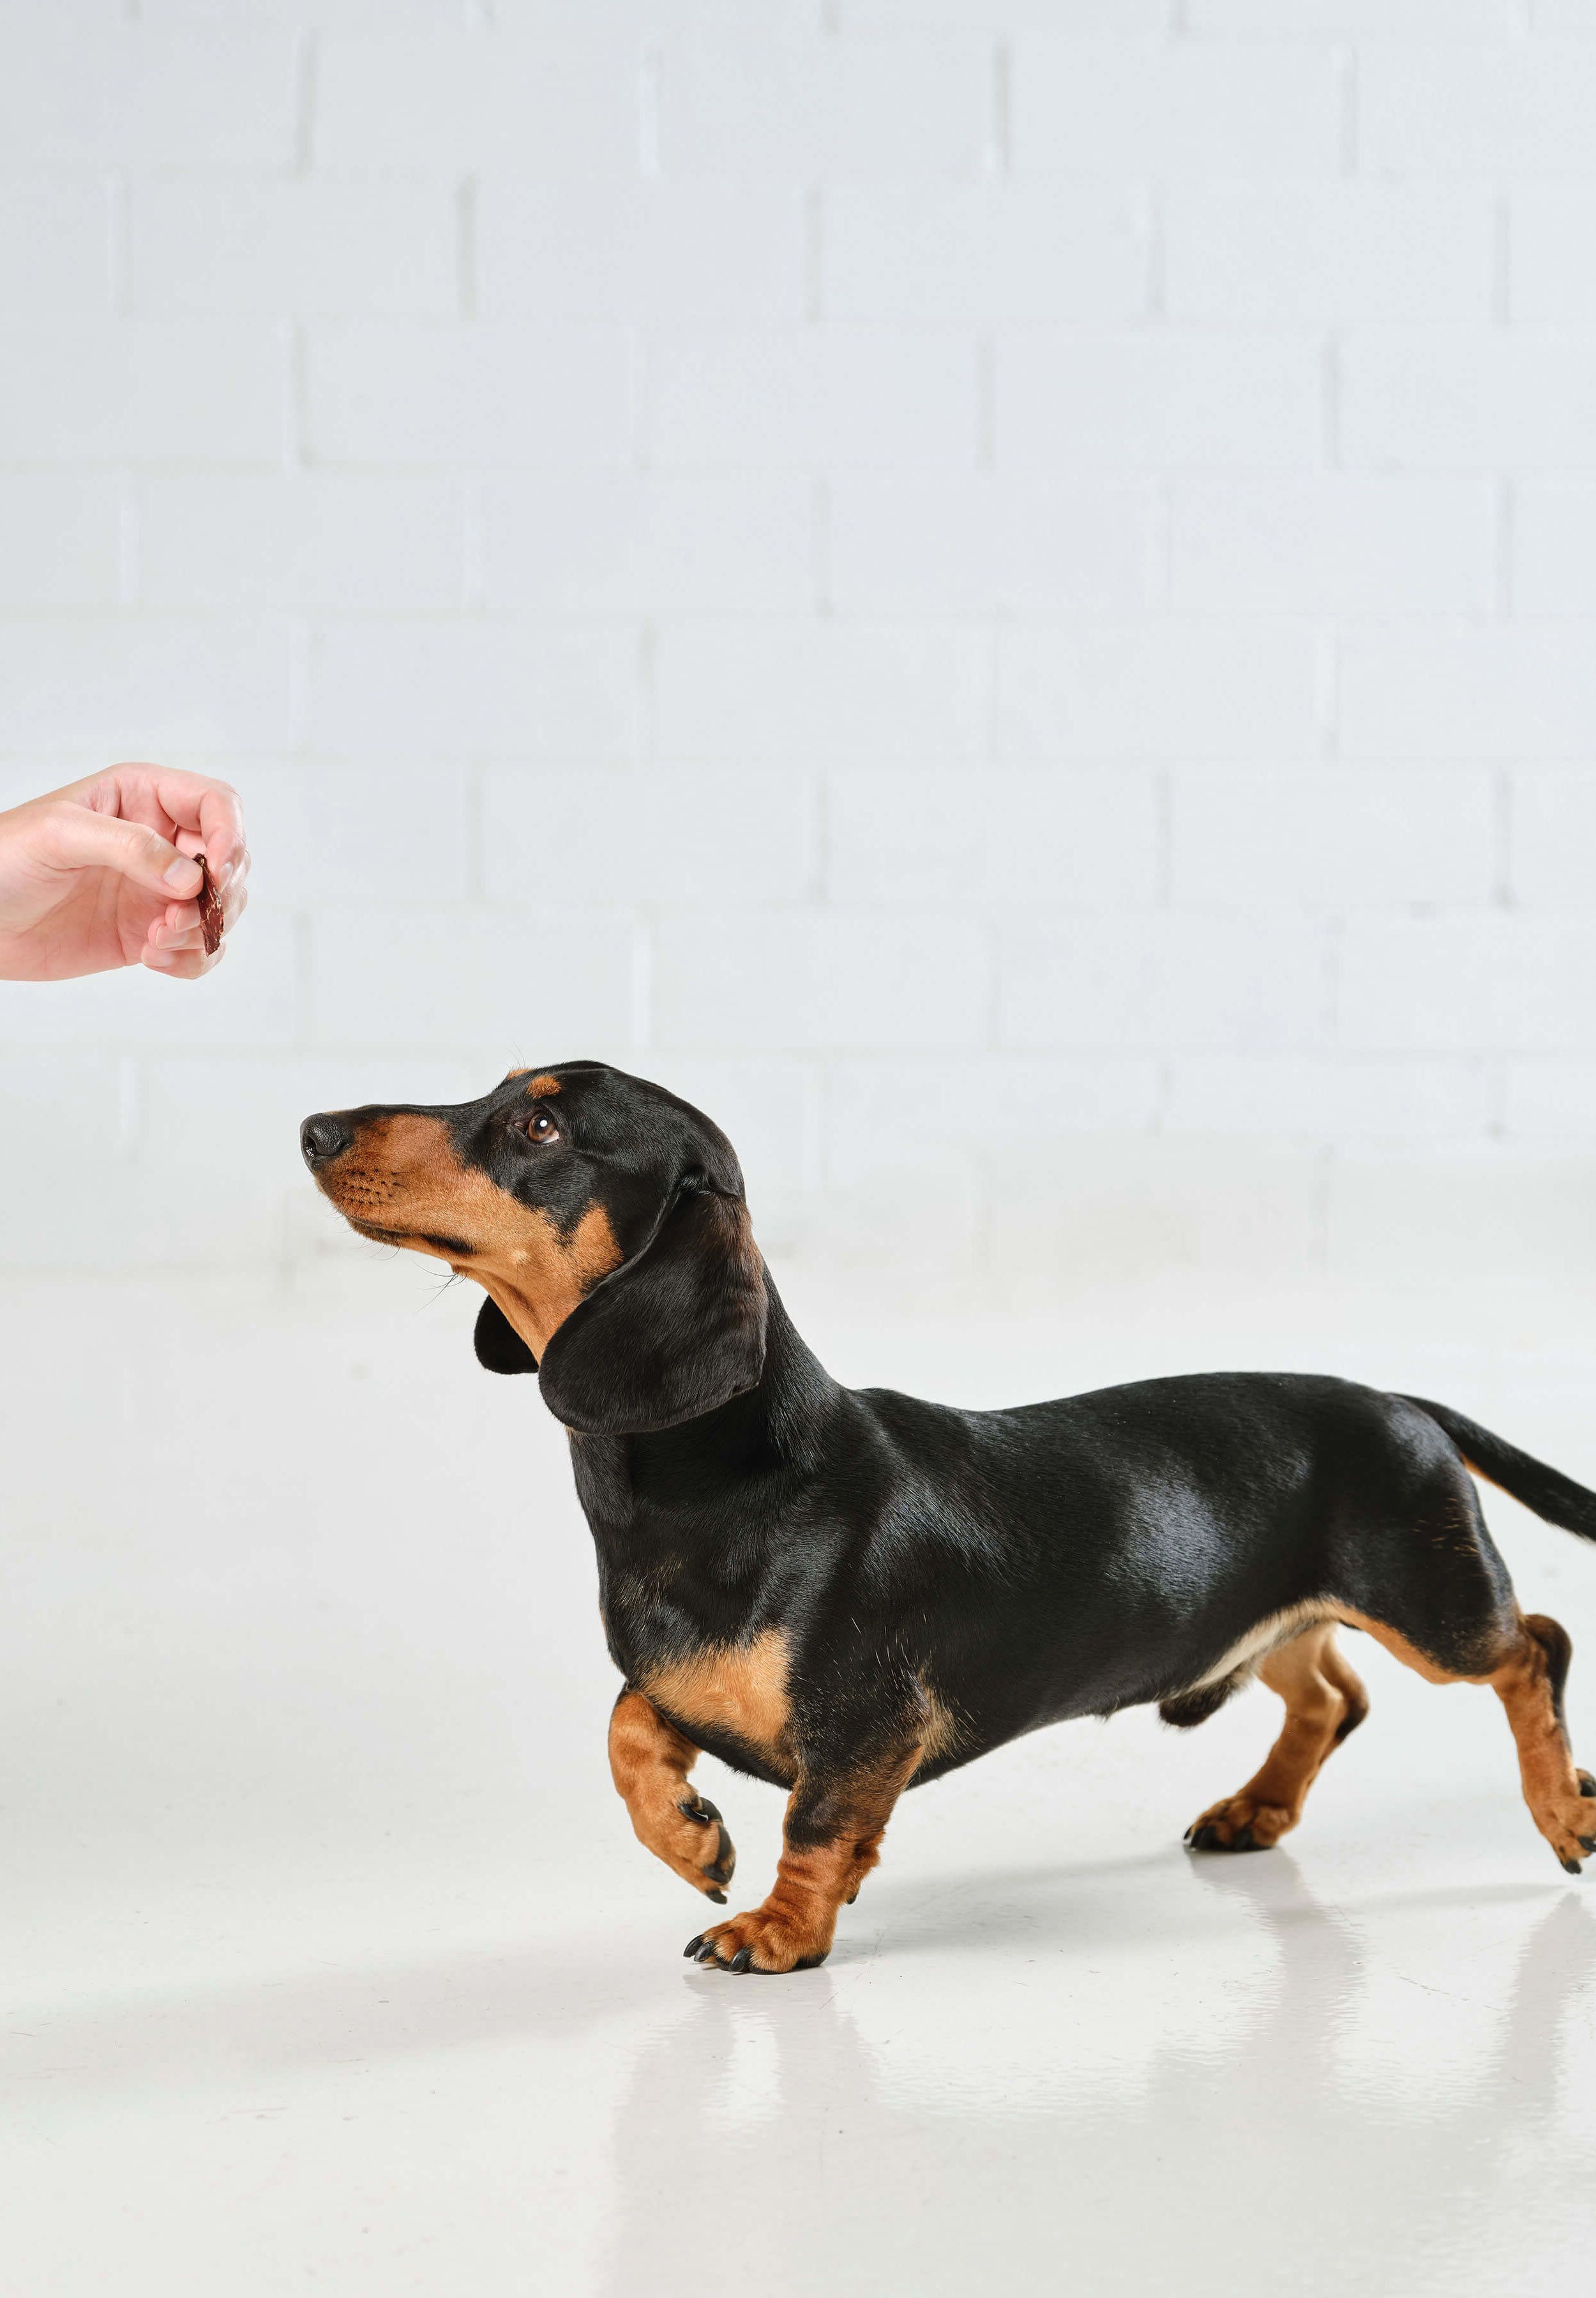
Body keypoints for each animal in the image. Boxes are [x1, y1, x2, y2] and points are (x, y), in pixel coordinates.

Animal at [299, 1057, 1596, 1976]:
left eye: (542, 1130)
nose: (313, 1129)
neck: (729, 1488)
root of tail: (1399, 1399)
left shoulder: (868, 1720)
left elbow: (817, 1826)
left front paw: (776, 1929)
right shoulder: (672, 1684)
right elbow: (627, 1733)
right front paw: (693, 1837)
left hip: (1431, 1601)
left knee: (1532, 1648)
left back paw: (1564, 1812)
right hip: (1275, 1614)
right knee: (1332, 1693)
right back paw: (1256, 1809)